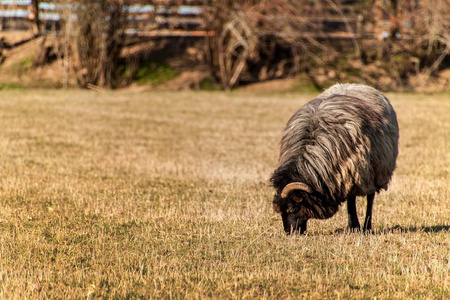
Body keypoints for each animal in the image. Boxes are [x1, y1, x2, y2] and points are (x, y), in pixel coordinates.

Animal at [268, 82, 400, 234]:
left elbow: (352, 201)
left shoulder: (353, 173)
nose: (289, 232)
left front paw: (354, 226)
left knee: (370, 198)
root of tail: (359, 85)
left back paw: (367, 226)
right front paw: (353, 226)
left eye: (291, 208)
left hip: (375, 171)